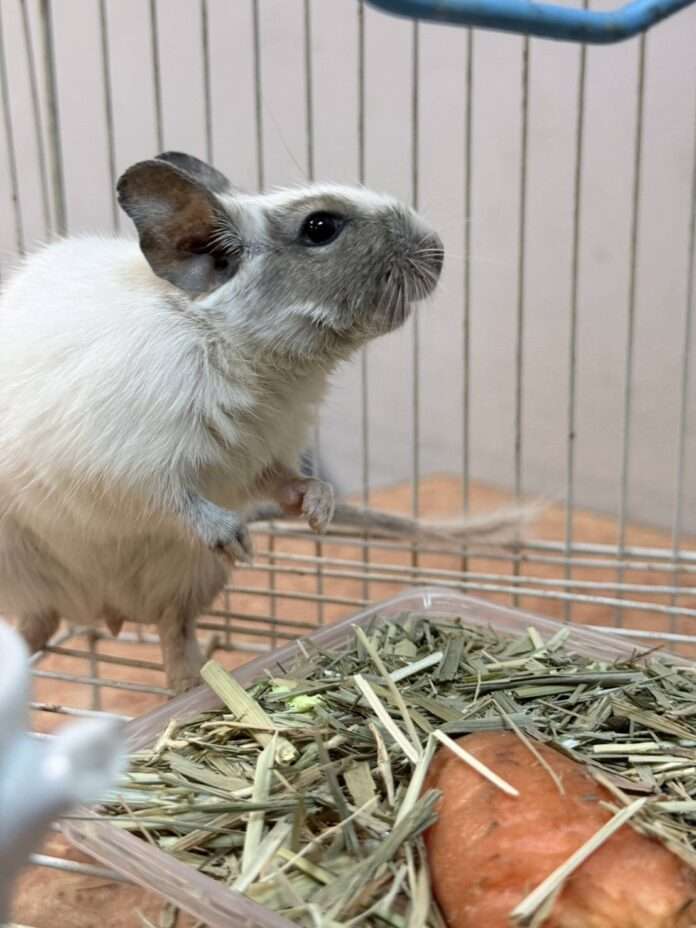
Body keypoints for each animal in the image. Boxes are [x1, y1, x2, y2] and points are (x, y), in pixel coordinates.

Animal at [0, 151, 523, 692]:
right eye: (320, 227)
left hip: (187, 581)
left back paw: (192, 687)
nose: (439, 250)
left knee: (171, 632)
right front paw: (235, 539)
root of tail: (100, 612)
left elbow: (288, 482)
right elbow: (173, 499)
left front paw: (319, 511)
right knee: (40, 624)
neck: (247, 353)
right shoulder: (127, 461)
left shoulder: (263, 454)